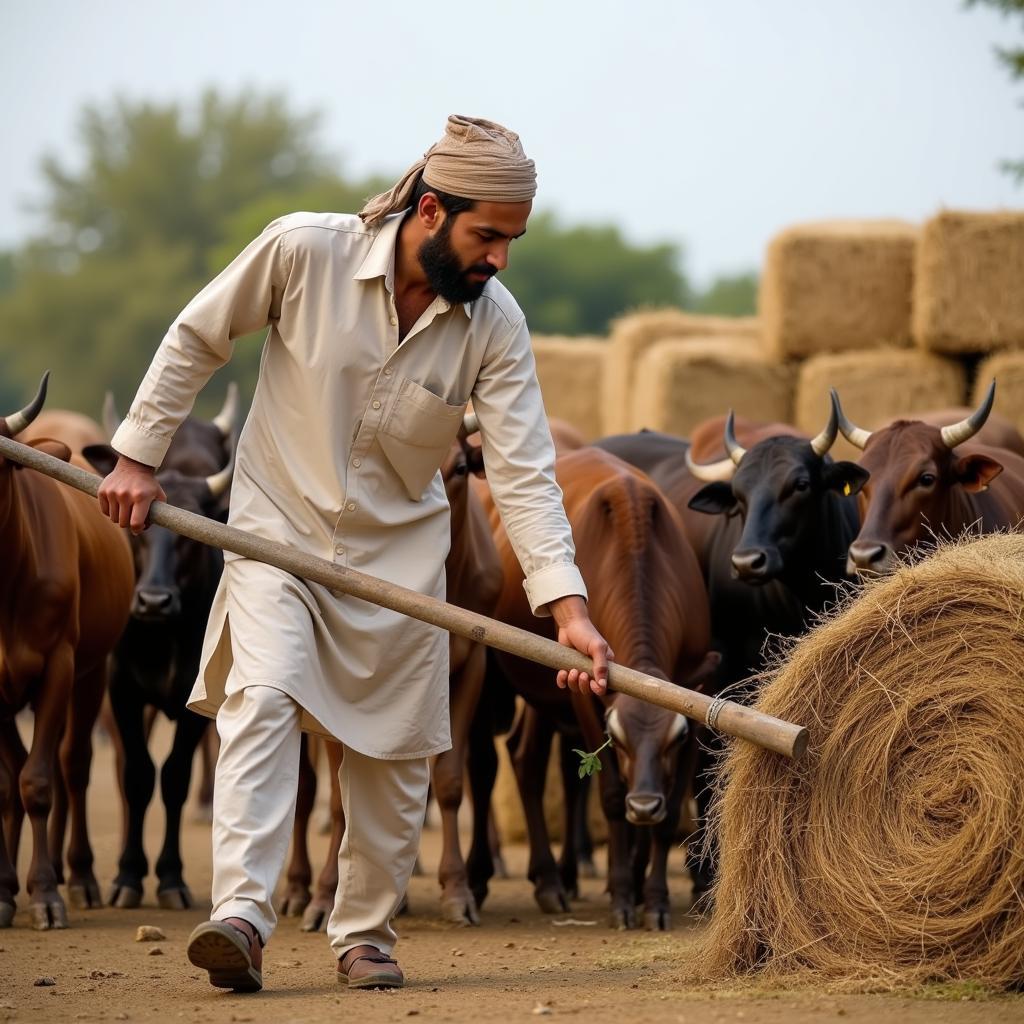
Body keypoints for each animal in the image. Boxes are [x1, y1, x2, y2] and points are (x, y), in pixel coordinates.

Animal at [83, 387, 235, 909]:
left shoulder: (195, 702)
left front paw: (170, 877)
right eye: (135, 529)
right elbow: (137, 776)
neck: (163, 637)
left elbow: (172, 778)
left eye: (193, 534)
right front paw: (129, 875)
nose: (153, 600)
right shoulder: (122, 692)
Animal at [475, 446, 708, 929]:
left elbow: (673, 809)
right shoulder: (583, 698)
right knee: (500, 763)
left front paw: (654, 899)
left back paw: (558, 879)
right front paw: (622, 898)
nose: (645, 805)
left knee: (528, 759)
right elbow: (611, 796)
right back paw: (533, 881)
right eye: (614, 738)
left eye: (675, 739)